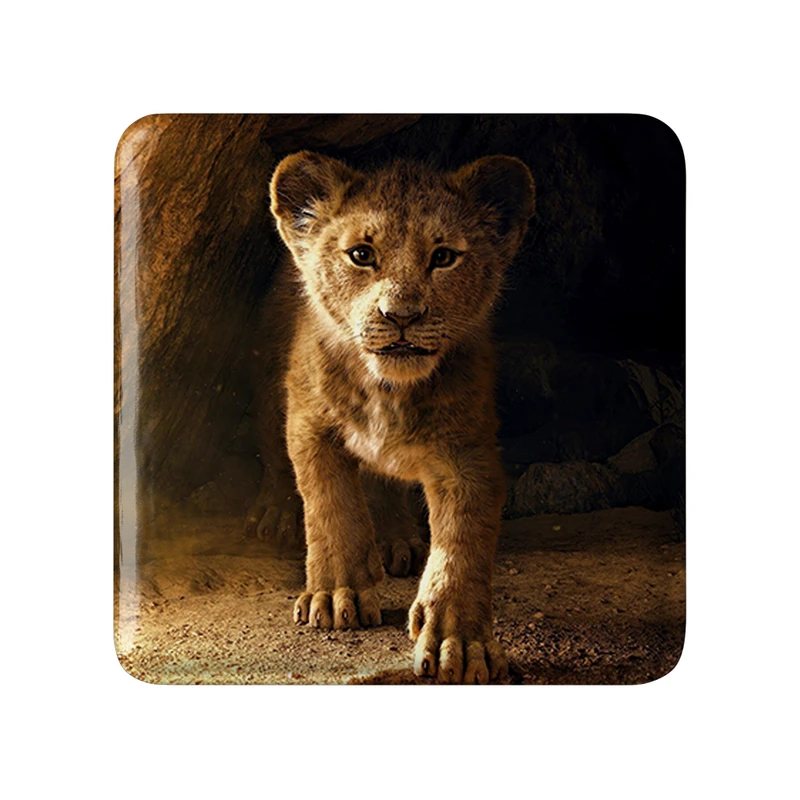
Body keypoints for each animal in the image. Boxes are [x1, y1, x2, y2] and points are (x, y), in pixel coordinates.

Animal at [246, 151, 535, 683]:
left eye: (443, 257)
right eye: (361, 254)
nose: (401, 315)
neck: (388, 389)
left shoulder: (468, 453)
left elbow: (462, 542)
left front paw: (458, 642)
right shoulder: (309, 424)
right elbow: (330, 506)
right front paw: (336, 594)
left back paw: (397, 539)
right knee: (277, 461)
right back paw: (274, 513)